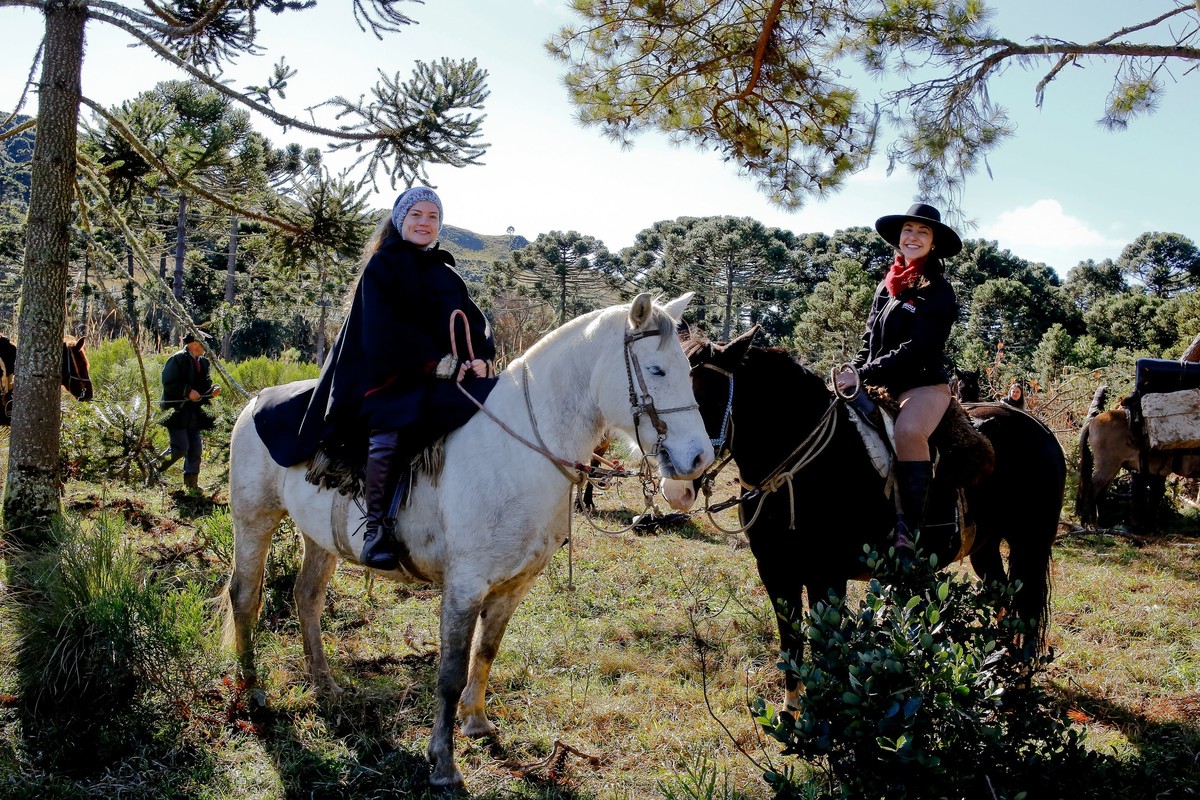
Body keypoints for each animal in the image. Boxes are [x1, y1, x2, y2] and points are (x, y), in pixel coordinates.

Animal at [222, 293, 714, 789]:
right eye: (657, 370)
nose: (698, 459)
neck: (517, 453)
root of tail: (255, 399)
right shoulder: (464, 586)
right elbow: (450, 673)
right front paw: (443, 762)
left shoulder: (514, 586)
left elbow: (486, 650)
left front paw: (475, 721)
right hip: (254, 520)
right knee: (245, 598)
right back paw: (252, 691)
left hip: (319, 540)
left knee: (307, 598)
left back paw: (325, 683)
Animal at [663, 330, 1065, 712]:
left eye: (708, 399)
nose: (675, 488)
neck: (802, 467)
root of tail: (1041, 428)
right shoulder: (776, 571)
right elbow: (790, 642)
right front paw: (791, 715)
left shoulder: (826, 576)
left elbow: (824, 648)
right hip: (986, 546)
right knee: (1004, 599)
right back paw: (996, 670)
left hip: (1030, 543)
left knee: (1028, 612)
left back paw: (1018, 683)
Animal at [1075, 386, 1200, 529]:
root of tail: (1091, 423)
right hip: (1107, 466)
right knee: (1093, 487)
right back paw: (1087, 521)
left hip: (1114, 467)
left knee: (1102, 491)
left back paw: (1101, 522)